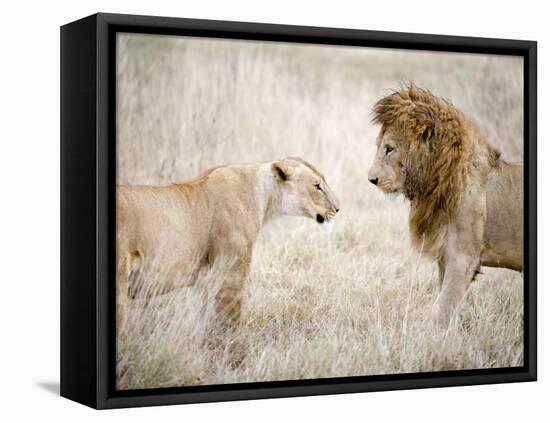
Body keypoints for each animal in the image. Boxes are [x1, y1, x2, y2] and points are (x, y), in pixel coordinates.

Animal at [117, 157, 340, 336]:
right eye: (317, 186)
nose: (338, 209)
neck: (265, 197)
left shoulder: (204, 282)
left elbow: (201, 325)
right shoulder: (231, 275)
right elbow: (230, 326)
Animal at [368, 84, 524, 326]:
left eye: (389, 149)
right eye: (379, 147)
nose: (371, 179)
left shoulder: (463, 259)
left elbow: (443, 310)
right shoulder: (445, 257)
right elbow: (444, 303)